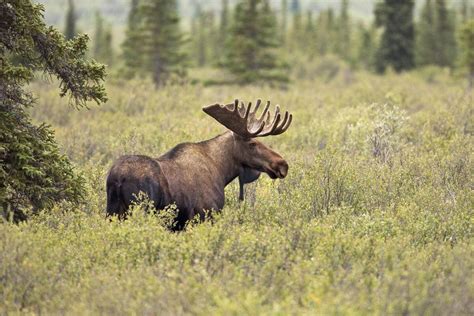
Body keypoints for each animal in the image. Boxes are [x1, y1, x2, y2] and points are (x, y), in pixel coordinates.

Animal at [106, 99, 292, 230]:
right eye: (252, 143)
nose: (282, 164)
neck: (222, 171)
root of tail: (118, 179)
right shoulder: (206, 214)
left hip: (112, 211)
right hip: (140, 210)